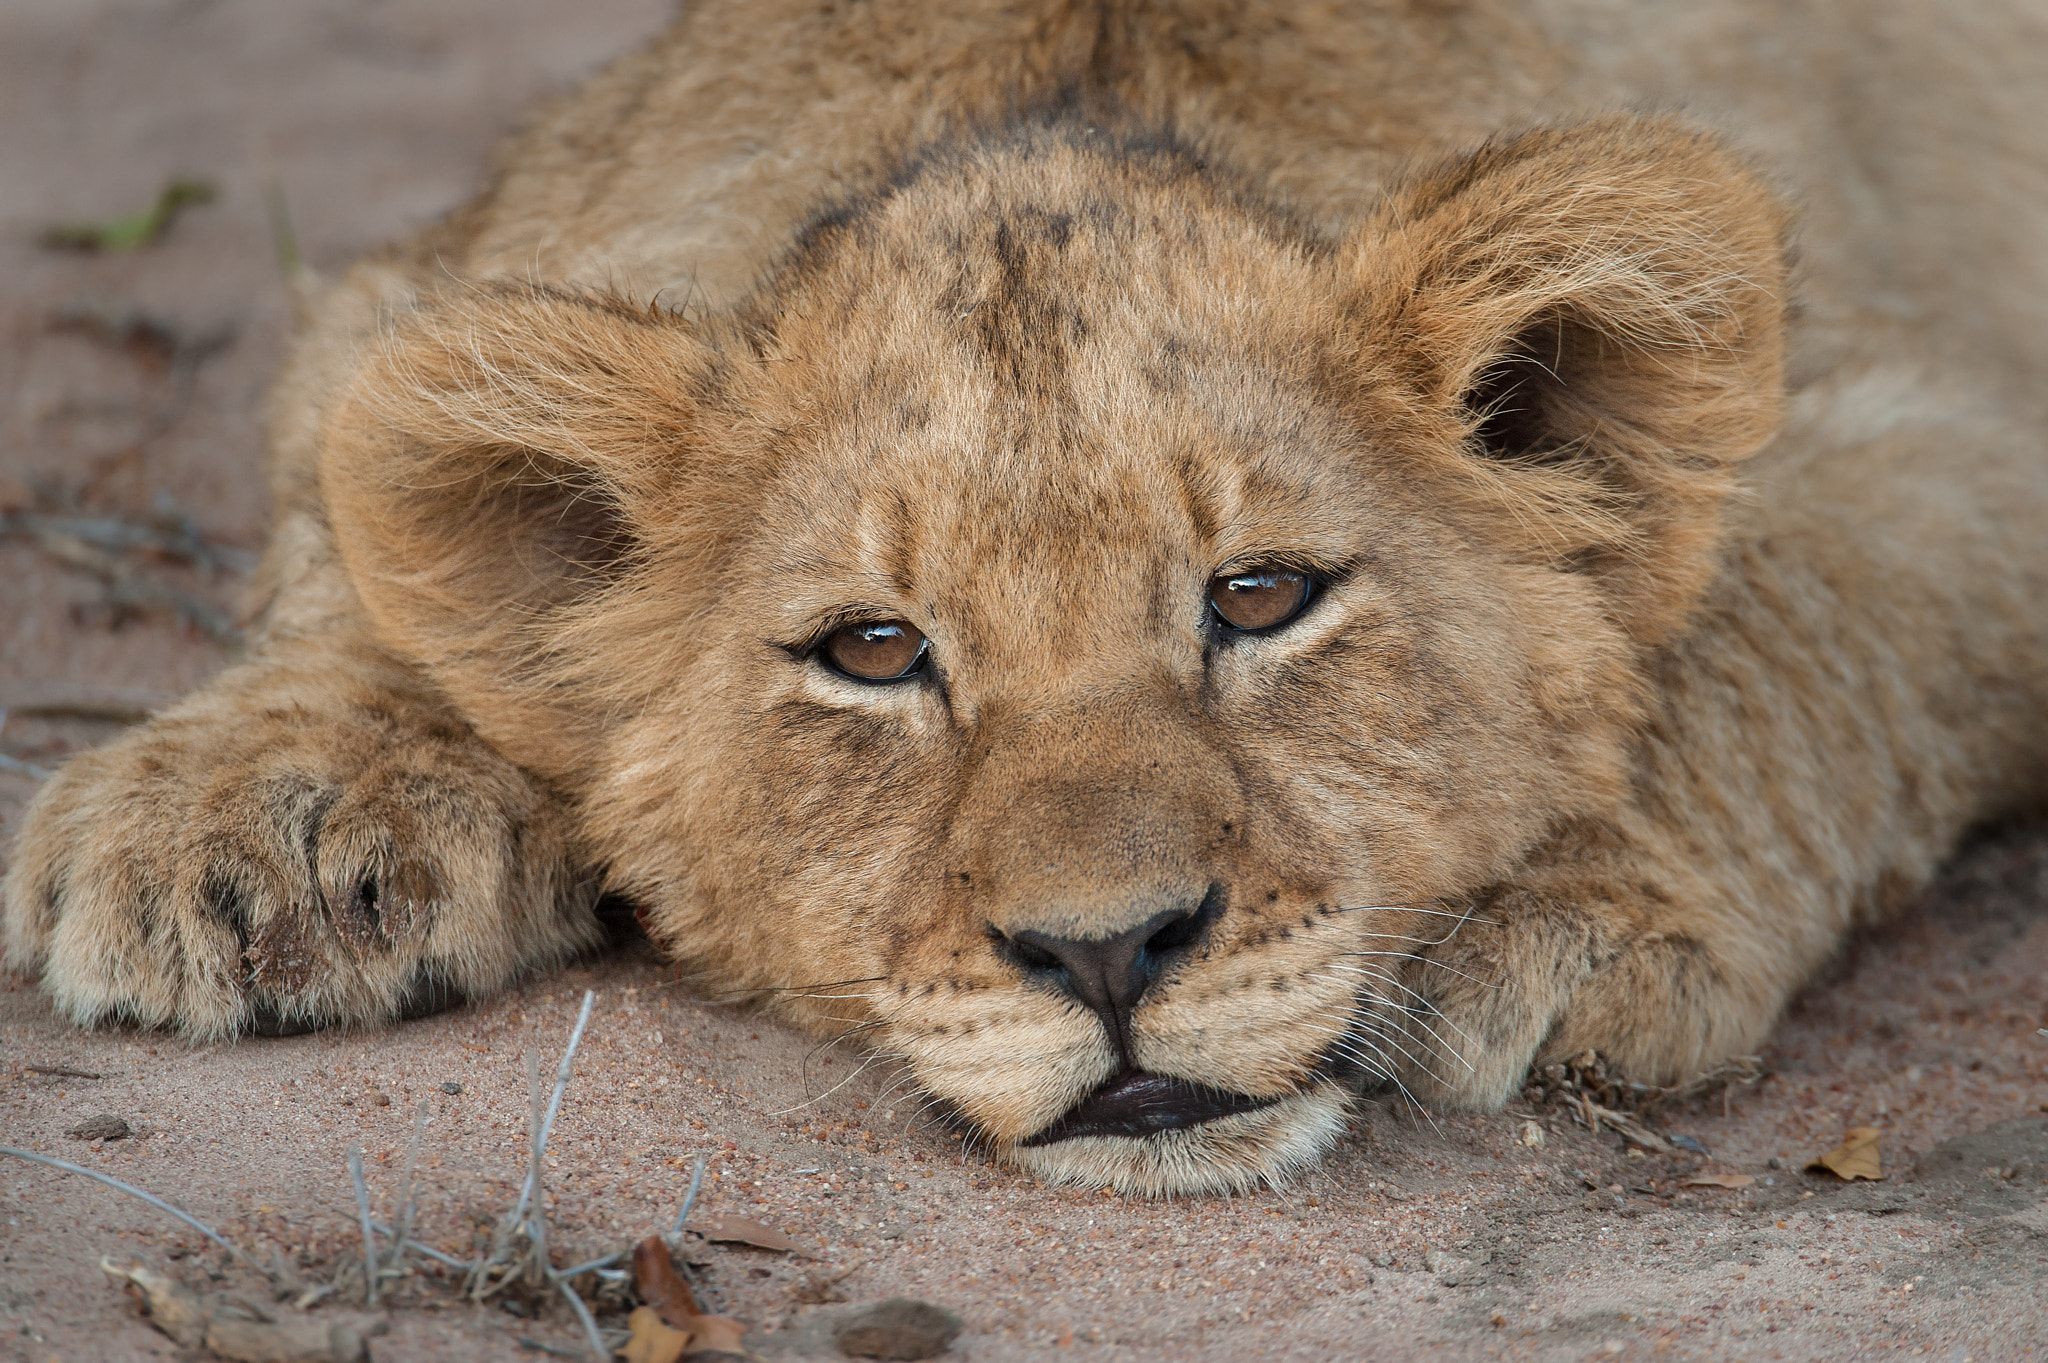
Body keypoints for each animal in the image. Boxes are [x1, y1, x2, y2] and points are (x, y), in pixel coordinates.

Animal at [7, 0, 2048, 1196]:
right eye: (875, 649)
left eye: (1261, 596)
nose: (1108, 953)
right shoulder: (407, 301)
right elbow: (354, 538)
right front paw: (255, 817)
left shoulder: (1948, 433)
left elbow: (1773, 640)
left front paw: (1563, 913)